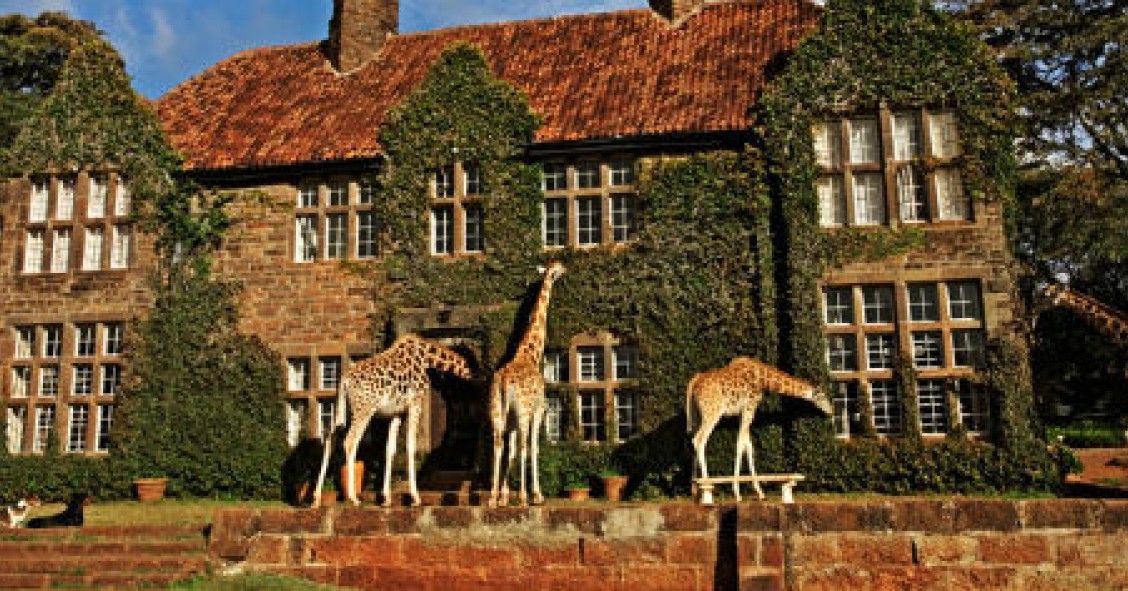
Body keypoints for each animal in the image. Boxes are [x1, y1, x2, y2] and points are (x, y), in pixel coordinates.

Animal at [311, 334, 471, 508]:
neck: (428, 358)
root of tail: (344, 380)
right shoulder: (415, 405)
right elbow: (410, 446)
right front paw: (415, 498)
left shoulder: (397, 413)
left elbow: (390, 449)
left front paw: (386, 498)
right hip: (364, 409)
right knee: (350, 441)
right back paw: (353, 498)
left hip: (342, 410)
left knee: (330, 439)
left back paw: (316, 498)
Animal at [488, 260, 566, 507]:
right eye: (557, 268)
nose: (565, 268)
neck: (530, 353)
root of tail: (503, 381)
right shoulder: (538, 410)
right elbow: (532, 448)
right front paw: (536, 494)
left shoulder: (511, 419)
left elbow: (510, 450)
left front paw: (503, 495)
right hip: (522, 411)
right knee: (523, 445)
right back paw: (523, 497)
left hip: (496, 411)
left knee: (498, 445)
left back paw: (492, 498)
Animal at [686, 357, 833, 501]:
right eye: (823, 397)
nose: (831, 411)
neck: (763, 380)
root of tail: (694, 381)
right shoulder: (749, 407)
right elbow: (740, 445)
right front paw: (737, 493)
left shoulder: (746, 411)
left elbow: (748, 447)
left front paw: (759, 492)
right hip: (713, 413)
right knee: (700, 440)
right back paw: (707, 484)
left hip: (698, 415)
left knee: (693, 439)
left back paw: (695, 488)